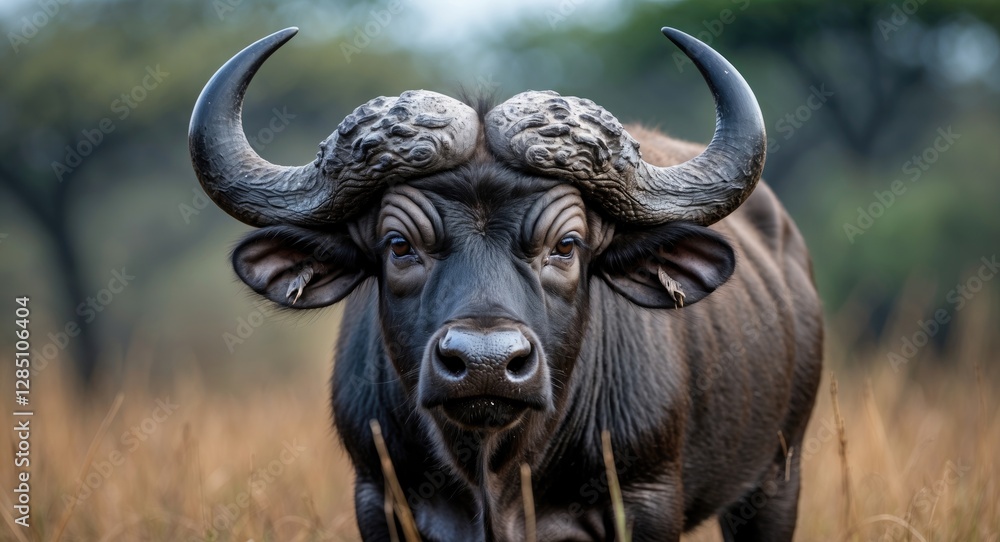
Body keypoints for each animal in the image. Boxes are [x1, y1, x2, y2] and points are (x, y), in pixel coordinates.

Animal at [189, 25, 823, 542]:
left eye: (566, 245)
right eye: (399, 245)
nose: (486, 364)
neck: (495, 471)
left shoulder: (647, 499)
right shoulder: (378, 498)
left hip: (777, 477)